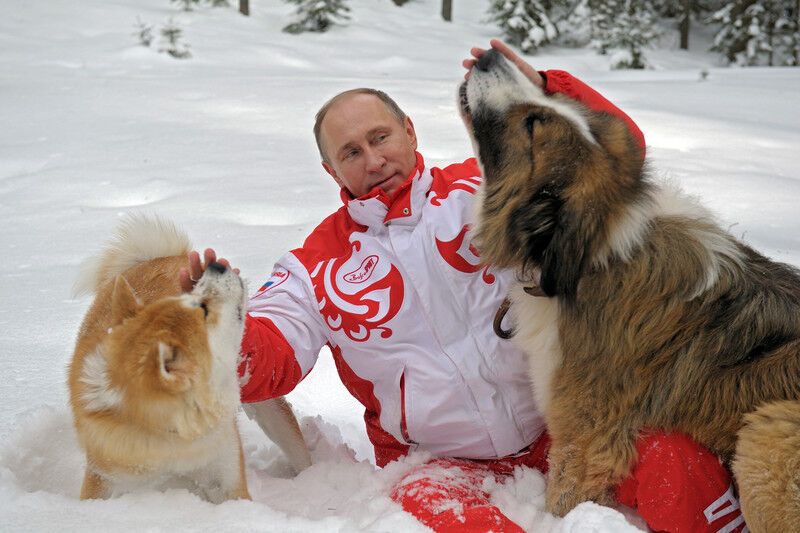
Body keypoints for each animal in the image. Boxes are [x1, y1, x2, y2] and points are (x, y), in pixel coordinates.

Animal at [69, 215, 310, 502]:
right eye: (201, 307)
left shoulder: (227, 474)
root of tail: (157, 258)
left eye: (190, 298)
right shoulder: (103, 478)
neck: (174, 437)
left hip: (267, 406)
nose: (216, 266)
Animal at [456, 48, 800, 528]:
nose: (490, 54)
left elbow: (565, 493)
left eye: (534, 123)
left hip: (768, 432)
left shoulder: (585, 434)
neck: (592, 258)